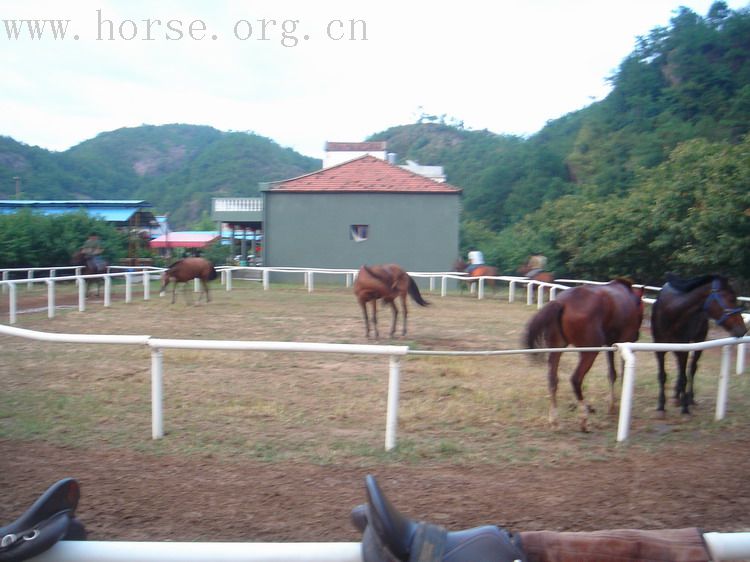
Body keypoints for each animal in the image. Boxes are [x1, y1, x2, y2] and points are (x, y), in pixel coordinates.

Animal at [524, 278, 648, 430]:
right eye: (642, 310)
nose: (637, 335)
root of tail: (562, 302)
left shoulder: (610, 344)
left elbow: (612, 374)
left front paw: (612, 406)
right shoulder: (624, 340)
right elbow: (622, 374)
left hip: (557, 348)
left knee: (553, 380)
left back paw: (554, 419)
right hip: (590, 351)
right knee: (576, 379)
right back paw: (584, 418)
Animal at [648, 272, 748, 416]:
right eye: (731, 299)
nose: (743, 329)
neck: (670, 311)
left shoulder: (684, 348)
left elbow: (684, 376)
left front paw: (685, 408)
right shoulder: (659, 349)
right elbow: (662, 376)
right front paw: (661, 406)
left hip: (698, 342)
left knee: (692, 369)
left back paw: (689, 398)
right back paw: (677, 396)